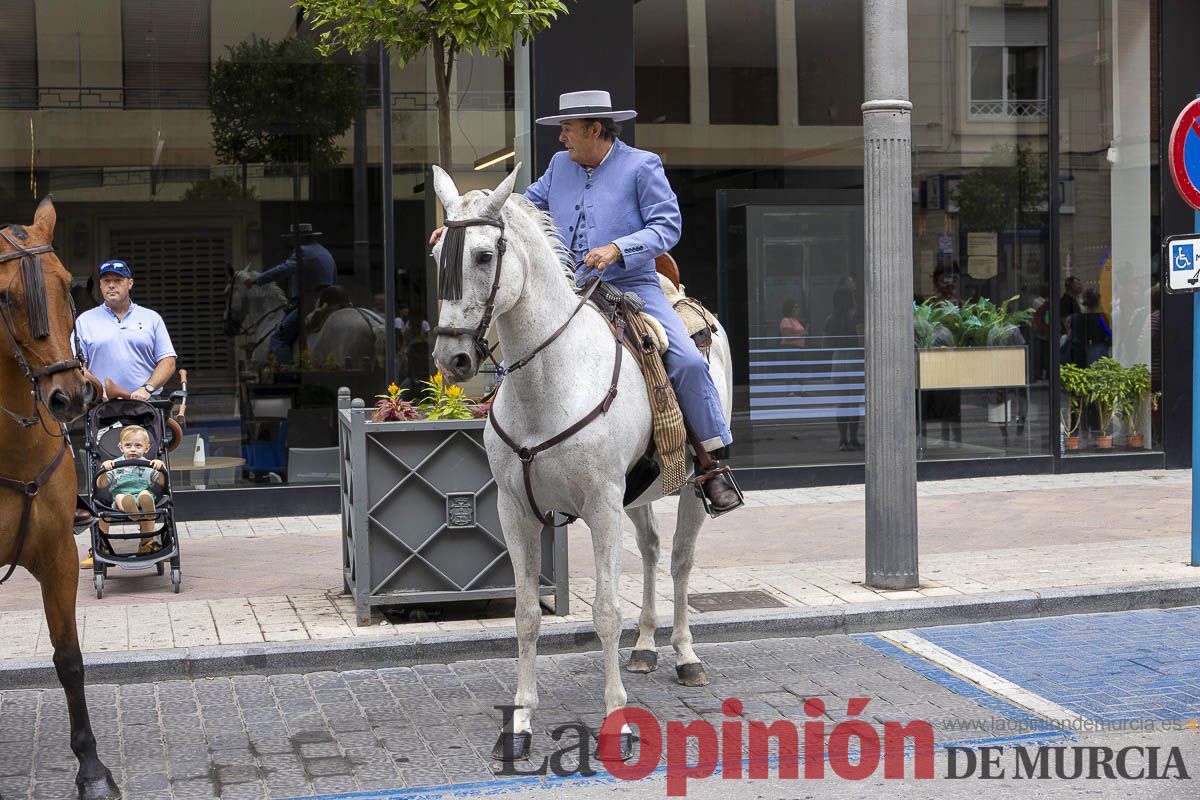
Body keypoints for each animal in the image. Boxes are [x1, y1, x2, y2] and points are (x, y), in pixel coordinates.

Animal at [430, 165, 733, 762]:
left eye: (483, 255)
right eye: (437, 255)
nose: (452, 357)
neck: (548, 380)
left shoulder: (600, 508)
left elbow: (605, 612)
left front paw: (617, 720)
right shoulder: (516, 512)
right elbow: (526, 616)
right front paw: (521, 720)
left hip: (688, 486)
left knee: (680, 561)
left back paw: (686, 656)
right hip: (636, 495)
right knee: (651, 552)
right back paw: (646, 647)